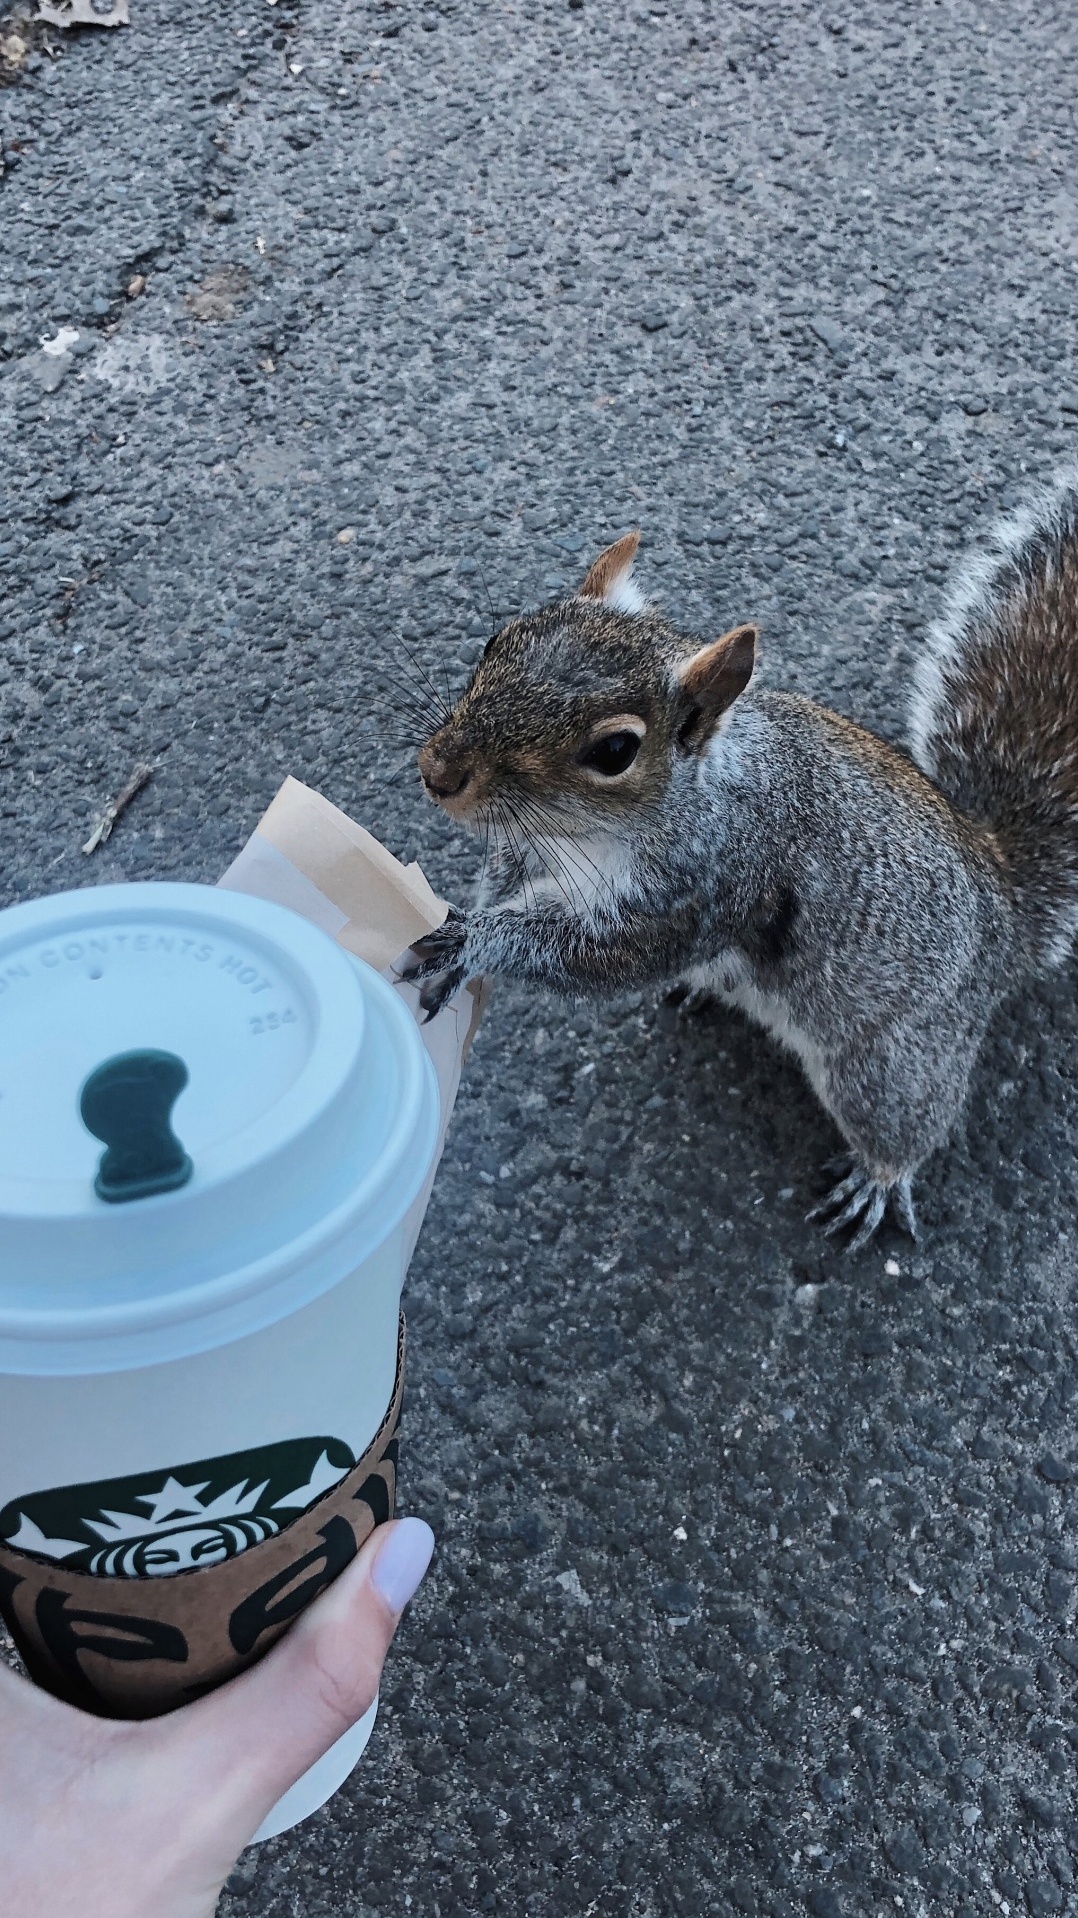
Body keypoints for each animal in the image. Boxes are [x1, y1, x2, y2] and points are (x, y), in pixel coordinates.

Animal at [400, 475, 1074, 1258]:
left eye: (614, 751)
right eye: (499, 639)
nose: (437, 773)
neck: (583, 835)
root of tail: (1003, 907)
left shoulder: (710, 887)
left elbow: (598, 956)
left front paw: (478, 942)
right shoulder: (524, 852)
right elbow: (506, 889)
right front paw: (463, 927)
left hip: (894, 1061)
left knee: (905, 1120)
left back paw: (878, 1180)